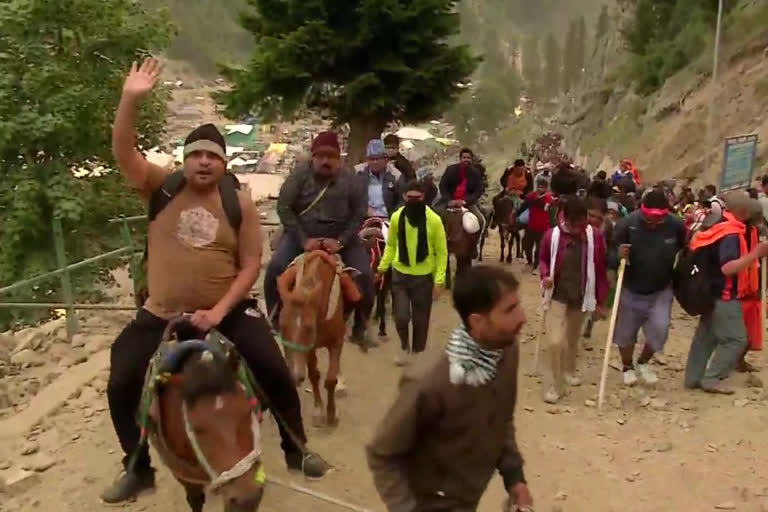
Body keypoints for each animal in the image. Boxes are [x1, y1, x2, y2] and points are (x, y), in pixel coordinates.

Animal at [276, 250, 360, 426]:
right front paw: (318, 410)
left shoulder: (336, 342)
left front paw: (332, 413)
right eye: (282, 326)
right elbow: (314, 376)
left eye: (308, 328)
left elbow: (330, 380)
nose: (295, 376)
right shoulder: (309, 348)